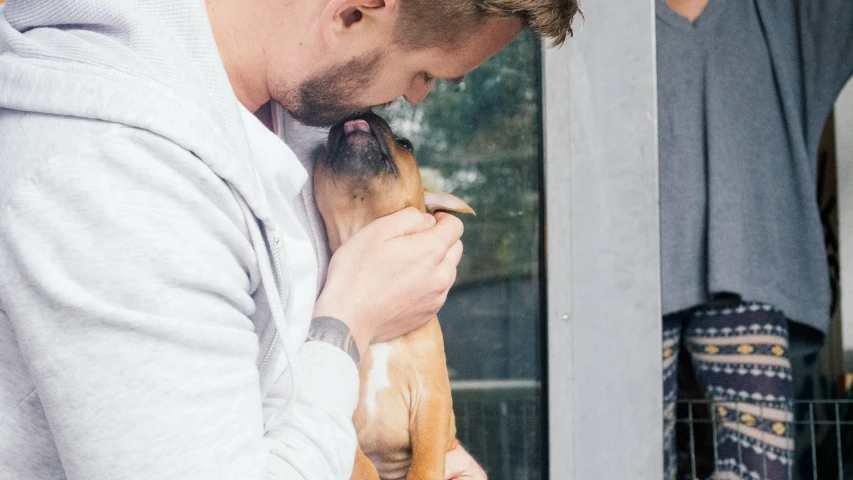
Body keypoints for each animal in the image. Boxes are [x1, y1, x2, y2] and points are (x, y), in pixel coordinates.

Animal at [312, 111, 472, 480]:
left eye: (406, 144)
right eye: (320, 151)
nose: (364, 112)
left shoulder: (432, 399)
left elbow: (426, 462)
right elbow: (361, 466)